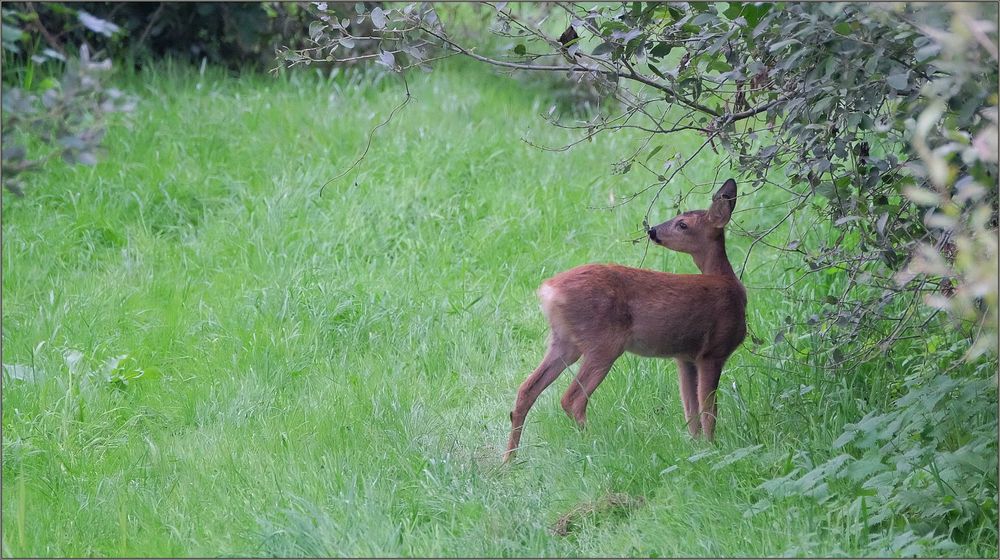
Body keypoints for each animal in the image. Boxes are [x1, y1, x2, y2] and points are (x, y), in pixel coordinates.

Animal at [504, 177, 748, 462]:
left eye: (682, 223)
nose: (653, 230)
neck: (728, 284)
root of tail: (548, 291)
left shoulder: (685, 357)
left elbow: (691, 409)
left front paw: (697, 446)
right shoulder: (713, 351)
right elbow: (709, 409)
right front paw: (712, 448)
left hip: (564, 341)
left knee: (526, 389)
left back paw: (509, 460)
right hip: (604, 342)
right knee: (572, 398)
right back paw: (593, 447)